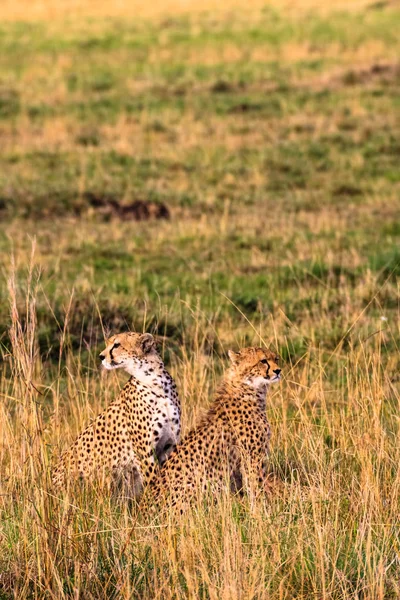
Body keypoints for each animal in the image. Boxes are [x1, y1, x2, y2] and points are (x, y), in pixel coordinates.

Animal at [52, 330, 180, 494]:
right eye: (108, 343)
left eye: (117, 345)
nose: (101, 356)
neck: (156, 382)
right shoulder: (144, 452)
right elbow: (154, 479)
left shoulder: (168, 445)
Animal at [148, 346, 282, 506]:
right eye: (263, 361)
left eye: (276, 359)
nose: (278, 370)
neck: (248, 388)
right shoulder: (252, 457)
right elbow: (256, 486)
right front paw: (262, 508)